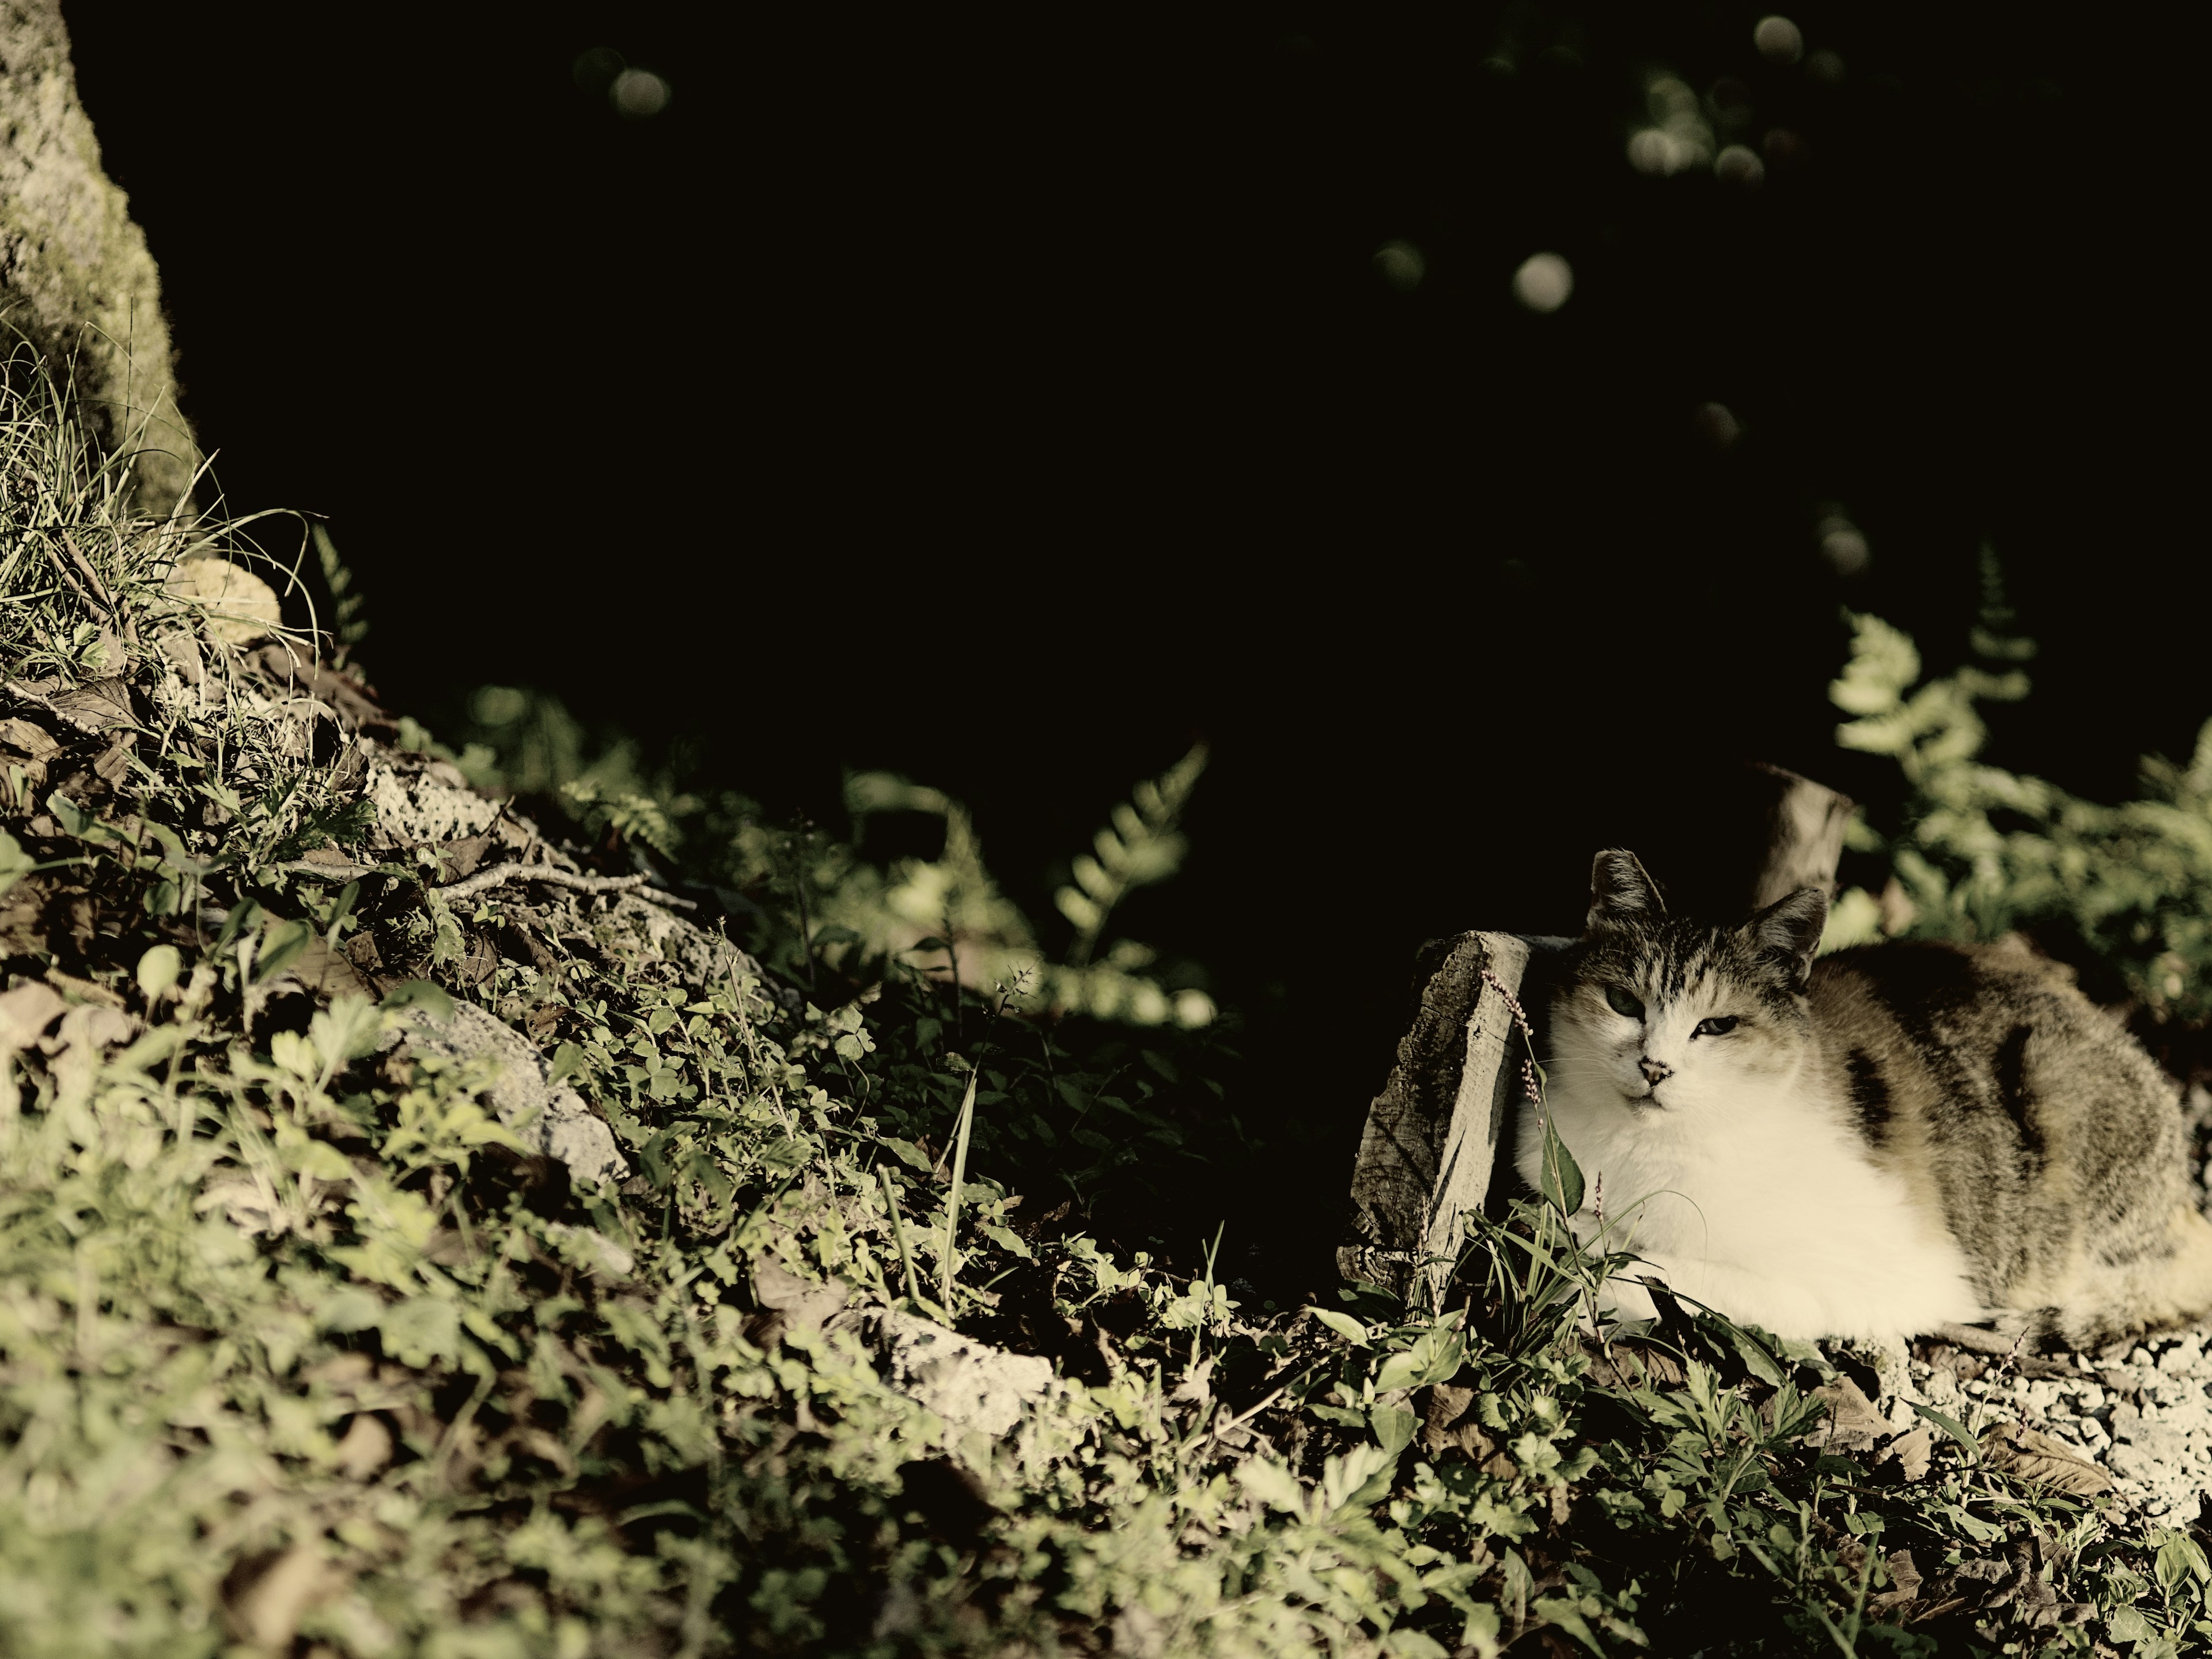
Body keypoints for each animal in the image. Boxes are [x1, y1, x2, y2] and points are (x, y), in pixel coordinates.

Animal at [1513, 858, 2212, 1354]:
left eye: (1715, 1027)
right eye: (1623, 1003)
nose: (1655, 1068)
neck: (1648, 1149)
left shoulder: (1872, 1279)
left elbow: (1650, 1276)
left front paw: (1588, 1274)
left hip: (2057, 1089)